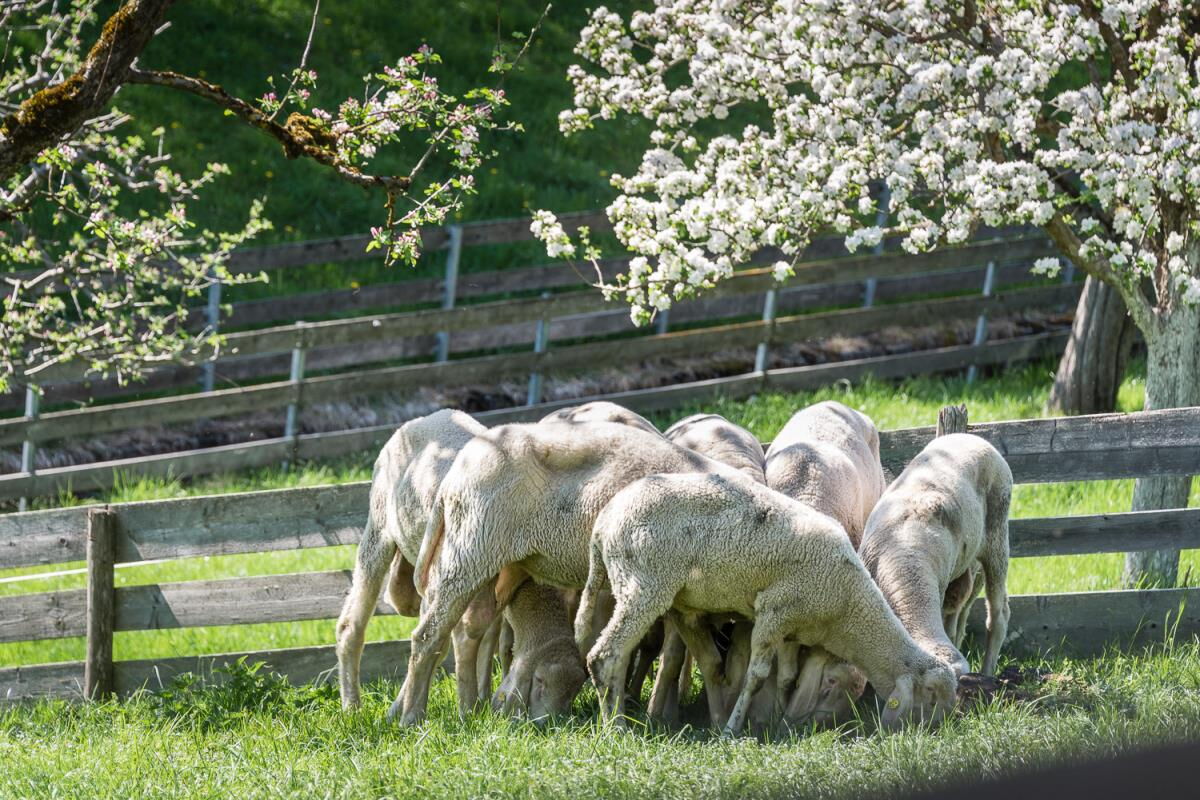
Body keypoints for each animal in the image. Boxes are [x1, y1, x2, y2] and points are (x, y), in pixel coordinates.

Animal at [578, 471, 958, 736]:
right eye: (931, 695)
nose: (936, 733)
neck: (847, 609)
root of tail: (604, 522)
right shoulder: (774, 612)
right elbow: (756, 676)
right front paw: (733, 729)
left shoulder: (792, 629)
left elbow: (787, 676)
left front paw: (778, 719)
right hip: (644, 585)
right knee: (605, 656)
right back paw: (615, 729)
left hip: (639, 587)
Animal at [858, 432, 1012, 676]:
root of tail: (971, 436)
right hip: (965, 568)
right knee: (959, 615)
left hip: (997, 540)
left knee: (998, 614)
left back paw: (988, 671)